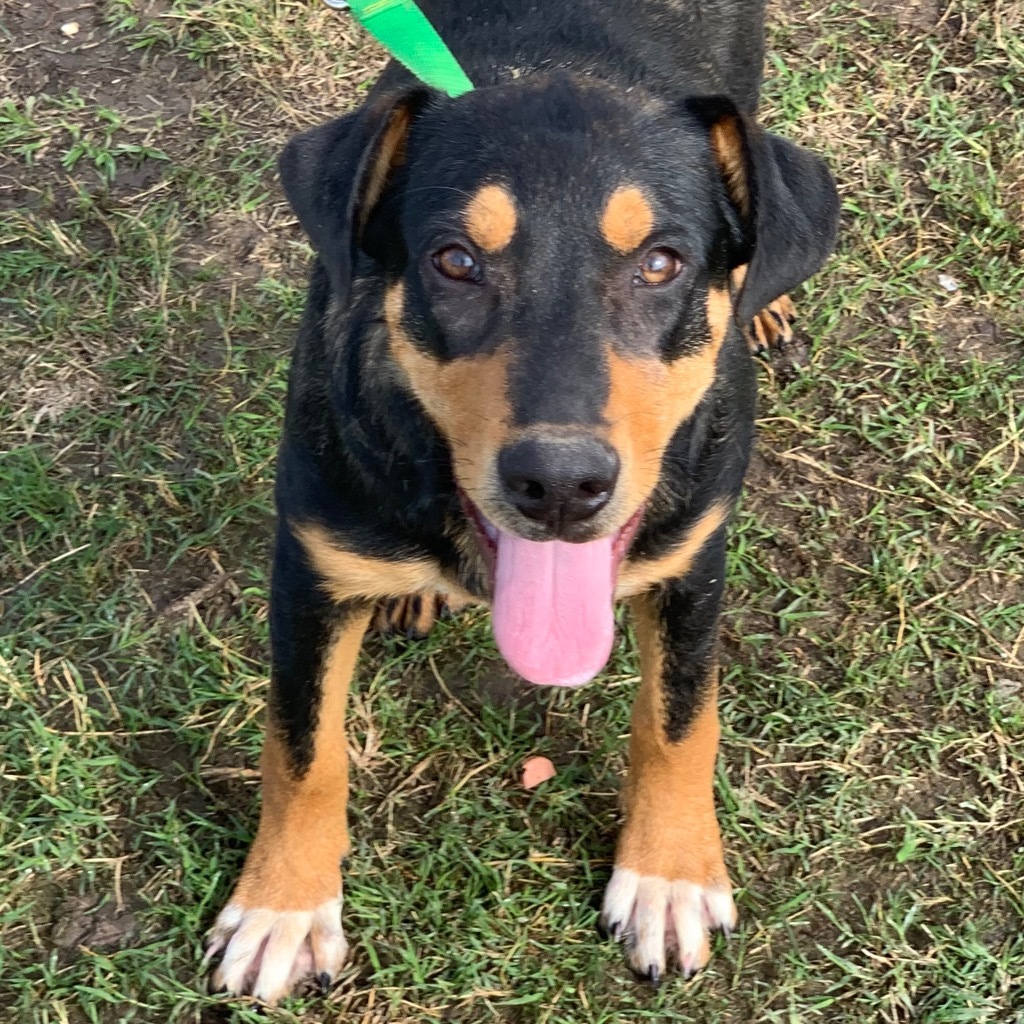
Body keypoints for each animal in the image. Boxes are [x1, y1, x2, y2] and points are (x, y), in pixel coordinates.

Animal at [203, 0, 835, 999]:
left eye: (663, 263)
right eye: (455, 260)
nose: (560, 484)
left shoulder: (693, 560)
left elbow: (680, 719)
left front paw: (668, 878)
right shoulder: (310, 569)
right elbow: (301, 748)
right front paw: (283, 907)